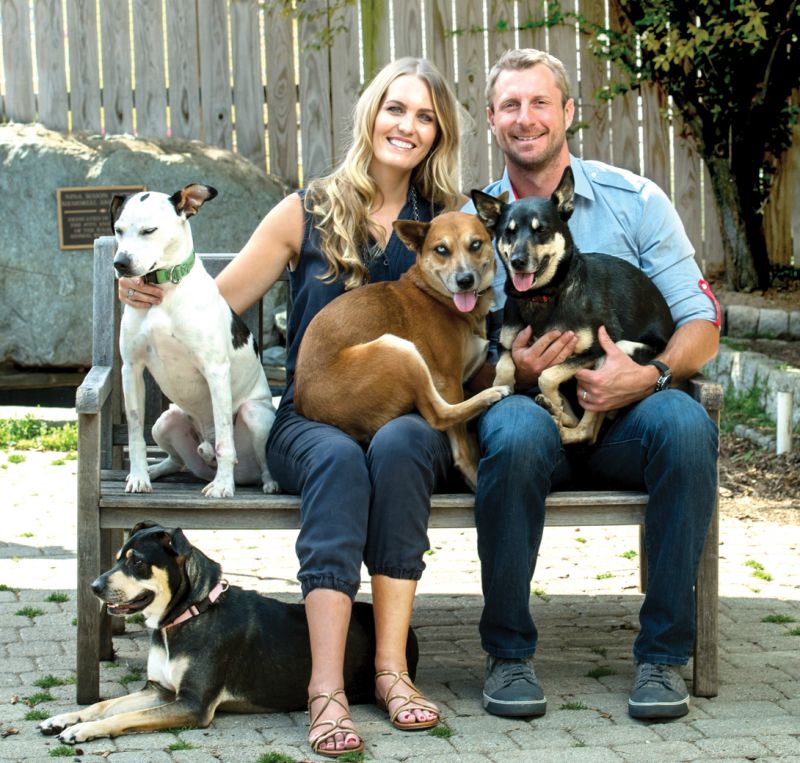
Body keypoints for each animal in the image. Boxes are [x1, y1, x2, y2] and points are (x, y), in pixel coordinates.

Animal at [39, 524, 418, 744]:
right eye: (118, 557)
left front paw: (82, 730)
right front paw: (64, 718)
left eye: (137, 562)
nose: (94, 586)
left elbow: (124, 716)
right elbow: (106, 704)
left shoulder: (193, 704)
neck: (188, 614)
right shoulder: (159, 690)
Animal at [109, 183, 278, 498]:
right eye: (118, 229)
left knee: (255, 458)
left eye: (149, 230)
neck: (164, 291)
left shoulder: (215, 370)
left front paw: (223, 486)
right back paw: (156, 470)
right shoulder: (131, 369)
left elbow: (225, 438)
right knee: (175, 460)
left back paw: (267, 481)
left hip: (255, 416)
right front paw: (138, 477)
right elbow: (135, 433)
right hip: (164, 422)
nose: (120, 263)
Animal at [296, 212, 512, 492]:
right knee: (439, 415)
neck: (436, 296)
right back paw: (490, 395)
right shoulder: (448, 380)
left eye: (475, 244)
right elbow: (460, 443)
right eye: (441, 249)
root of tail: (307, 404)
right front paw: (472, 473)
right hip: (399, 349)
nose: (465, 280)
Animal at [476, 166, 676, 442]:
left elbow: (547, 376)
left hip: (619, 353)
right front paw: (500, 388)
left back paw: (562, 424)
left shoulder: (596, 349)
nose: (517, 261)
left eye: (541, 230)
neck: (543, 295)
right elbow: (505, 366)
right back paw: (555, 410)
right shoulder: (507, 345)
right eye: (508, 231)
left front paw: (551, 399)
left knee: (588, 431)